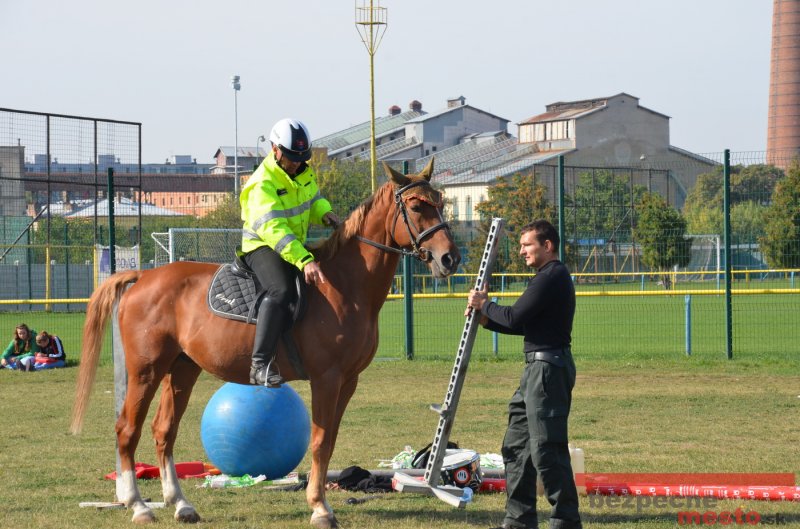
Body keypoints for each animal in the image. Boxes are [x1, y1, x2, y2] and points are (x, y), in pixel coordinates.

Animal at [70, 159, 460, 528]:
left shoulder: (348, 381)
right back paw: (137, 505)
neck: (343, 286)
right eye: (415, 205)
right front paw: (320, 508)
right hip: (146, 371)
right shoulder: (327, 379)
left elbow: (330, 440)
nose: (449, 258)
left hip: (181, 370)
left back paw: (180, 504)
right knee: (127, 430)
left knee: (163, 431)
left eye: (440, 203)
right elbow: (320, 441)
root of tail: (144, 277)